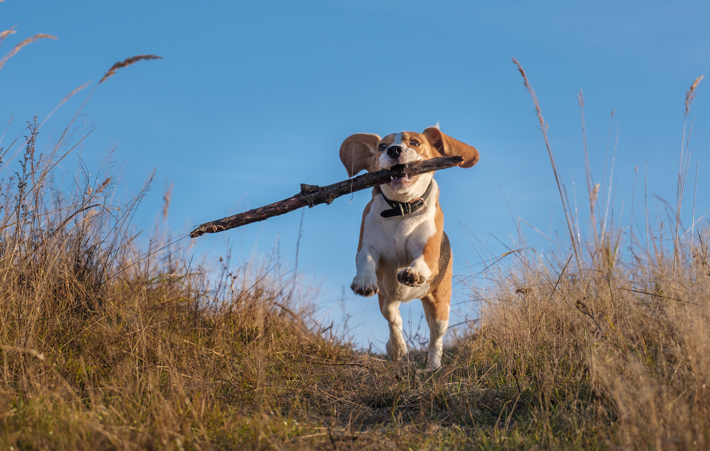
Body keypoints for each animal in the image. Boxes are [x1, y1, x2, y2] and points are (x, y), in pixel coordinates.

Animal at [342, 127, 482, 370]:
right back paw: (397, 349)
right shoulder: (368, 244)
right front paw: (364, 281)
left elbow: (422, 259)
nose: (394, 150)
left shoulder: (429, 250)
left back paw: (433, 364)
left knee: (436, 337)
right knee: (394, 319)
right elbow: (365, 258)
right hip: (387, 299)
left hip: (440, 306)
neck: (401, 209)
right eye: (382, 147)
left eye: (415, 142)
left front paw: (414, 272)